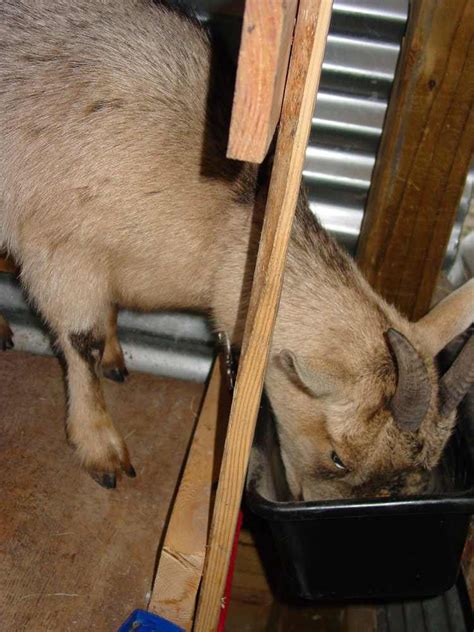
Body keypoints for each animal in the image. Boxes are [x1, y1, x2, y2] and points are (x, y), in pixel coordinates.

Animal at [0, 0, 474, 498]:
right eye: (338, 458)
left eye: (418, 475)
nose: (308, 503)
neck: (228, 219)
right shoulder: (60, 249)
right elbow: (81, 343)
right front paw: (101, 448)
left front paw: (114, 352)